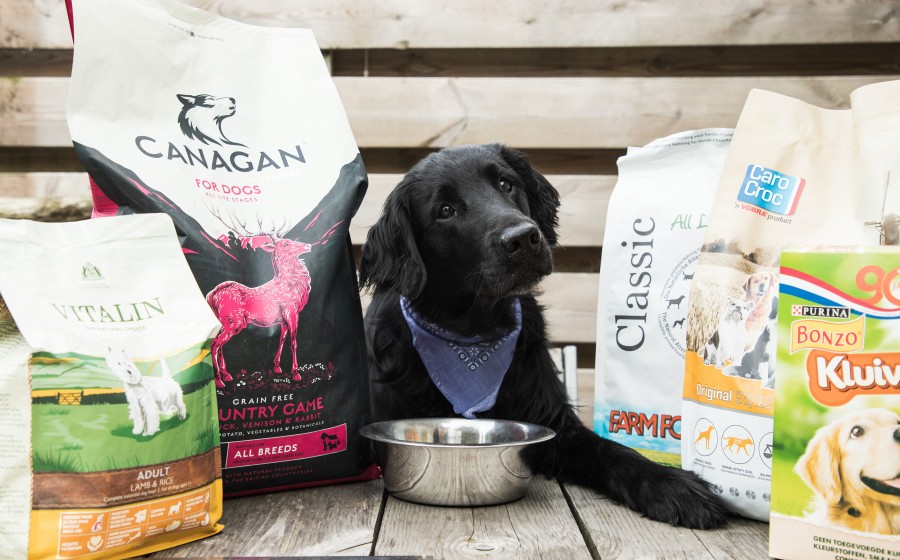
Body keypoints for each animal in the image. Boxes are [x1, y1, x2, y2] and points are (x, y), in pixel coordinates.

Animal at [358, 144, 728, 528]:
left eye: (506, 184)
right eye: (445, 211)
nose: (523, 238)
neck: (473, 332)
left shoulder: (553, 421)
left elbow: (609, 450)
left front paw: (673, 484)